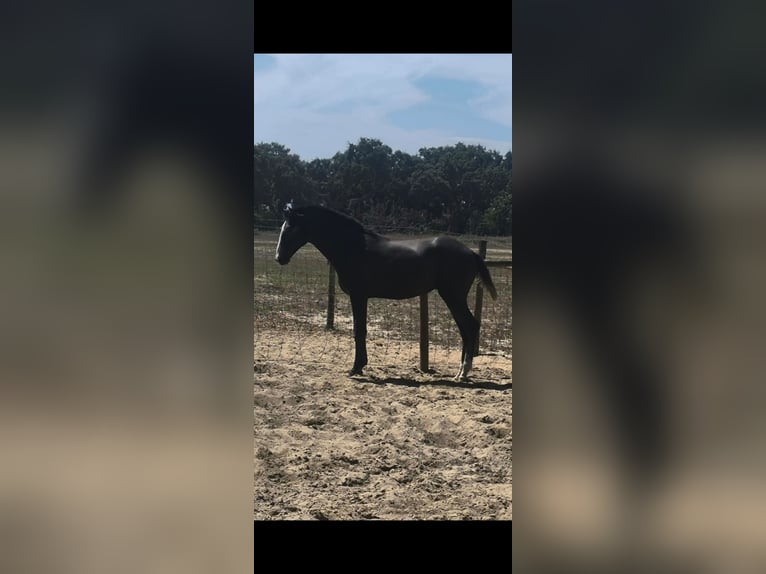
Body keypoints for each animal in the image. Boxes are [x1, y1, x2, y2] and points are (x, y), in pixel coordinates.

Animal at [275, 203, 498, 381]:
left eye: (289, 229)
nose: (279, 258)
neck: (353, 247)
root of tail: (471, 252)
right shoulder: (361, 297)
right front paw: (360, 366)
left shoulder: (358, 296)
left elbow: (359, 330)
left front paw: (356, 368)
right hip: (453, 298)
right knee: (465, 328)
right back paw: (461, 372)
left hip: (453, 296)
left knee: (470, 326)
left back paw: (463, 373)